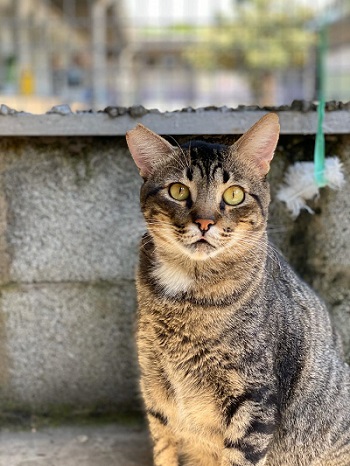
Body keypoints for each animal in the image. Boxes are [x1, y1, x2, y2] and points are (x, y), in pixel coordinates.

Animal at [126, 114, 350, 466]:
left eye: (233, 195)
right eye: (178, 190)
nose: (204, 222)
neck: (187, 293)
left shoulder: (254, 400)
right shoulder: (155, 390)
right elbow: (164, 452)